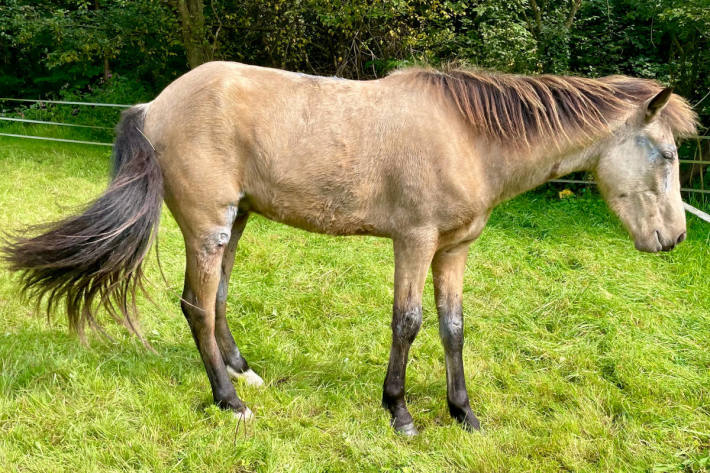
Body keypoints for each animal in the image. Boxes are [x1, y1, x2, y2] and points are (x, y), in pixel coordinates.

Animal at [2, 62, 700, 436]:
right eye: (666, 156)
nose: (675, 238)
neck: (471, 137)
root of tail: (154, 105)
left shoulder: (454, 249)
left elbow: (452, 327)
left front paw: (464, 415)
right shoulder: (414, 241)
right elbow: (408, 323)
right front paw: (400, 412)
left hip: (236, 223)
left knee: (217, 299)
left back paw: (243, 371)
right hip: (207, 226)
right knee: (196, 307)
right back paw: (231, 402)